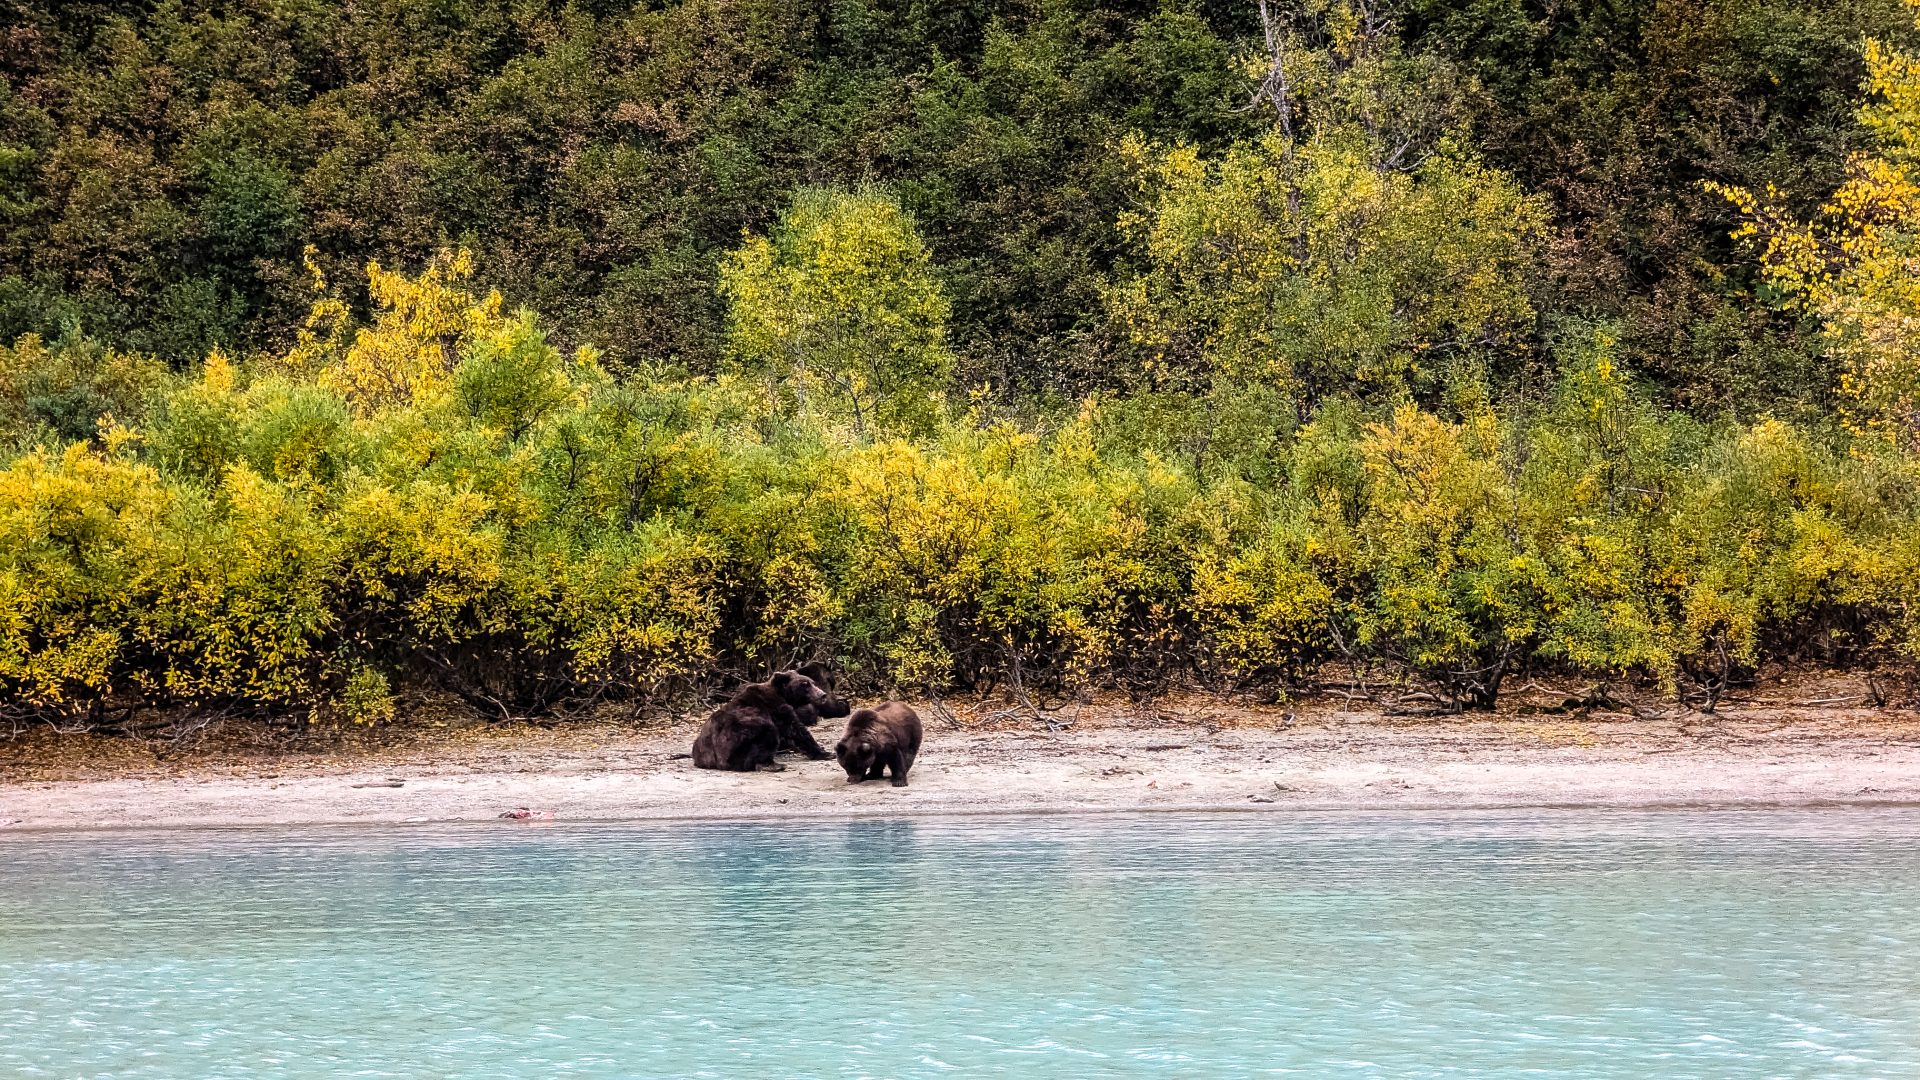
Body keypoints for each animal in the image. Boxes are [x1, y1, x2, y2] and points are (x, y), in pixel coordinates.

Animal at [695, 668, 837, 768]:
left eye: (812, 682)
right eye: (805, 684)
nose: (823, 695)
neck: (784, 696)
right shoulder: (776, 709)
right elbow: (796, 730)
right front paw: (825, 753)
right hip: (737, 739)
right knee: (767, 732)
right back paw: (771, 764)